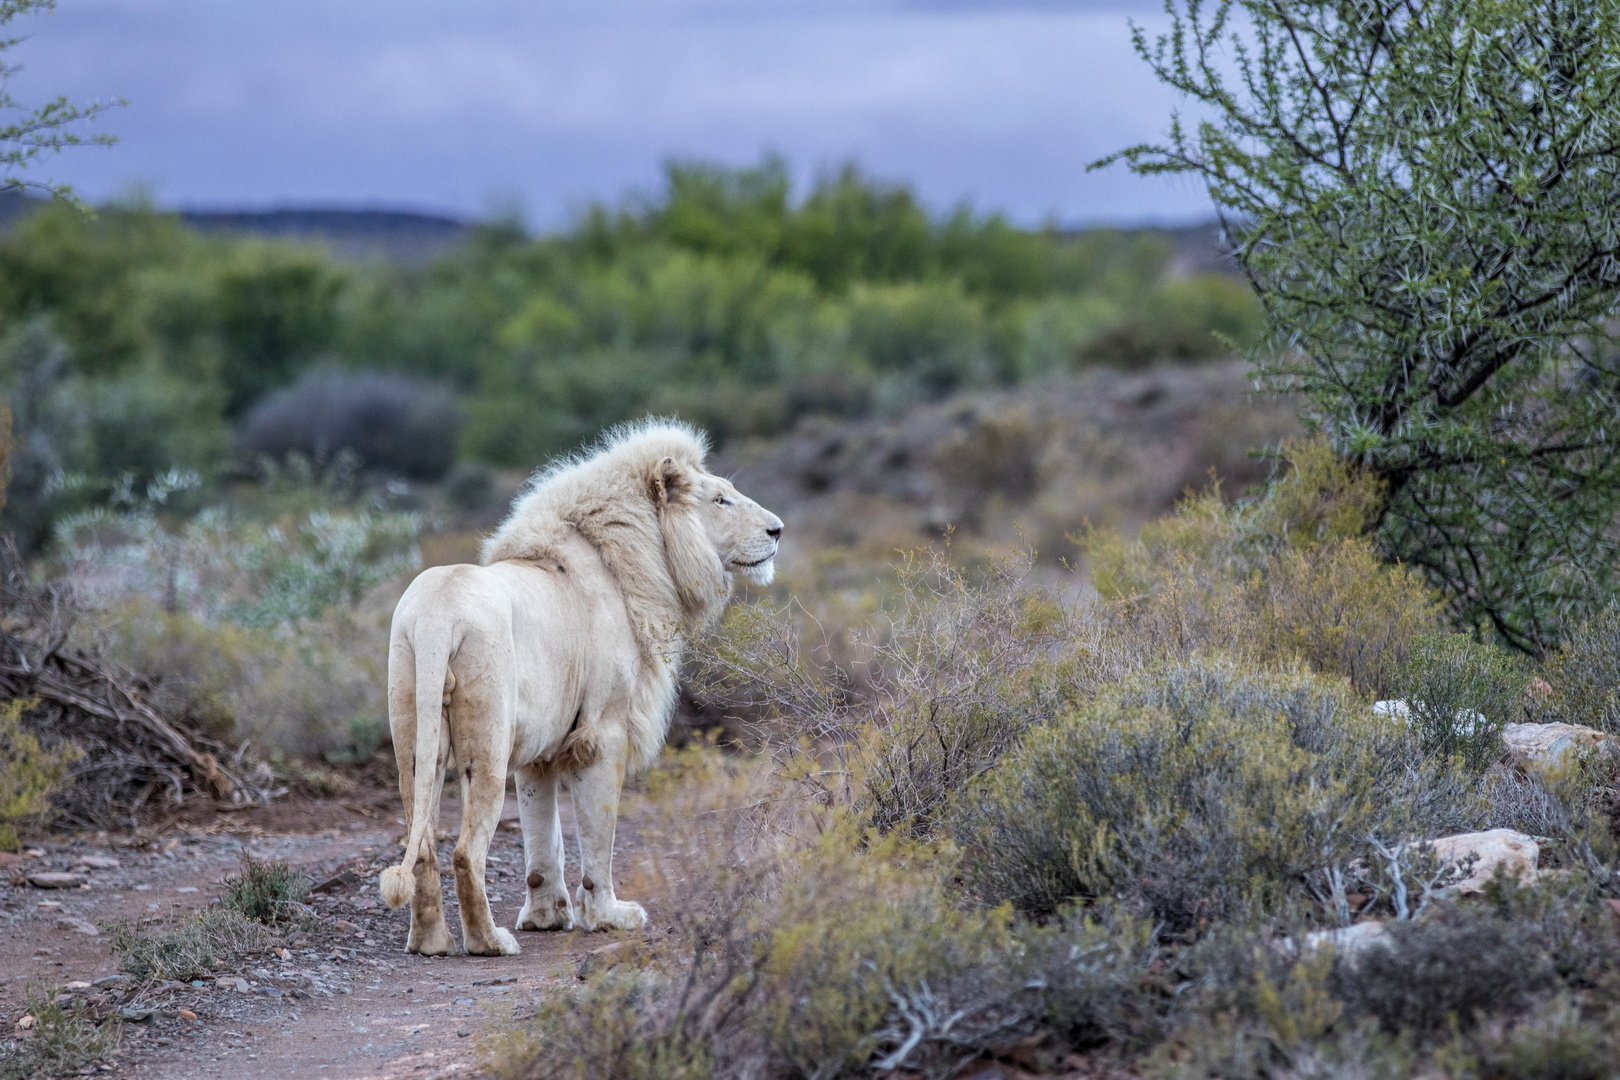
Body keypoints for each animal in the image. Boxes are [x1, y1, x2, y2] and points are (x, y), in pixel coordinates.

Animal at [379, 420, 784, 952]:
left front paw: (546, 915)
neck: (639, 560)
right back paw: (491, 942)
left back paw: (432, 942)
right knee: (465, 852)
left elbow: (543, 839)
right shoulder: (604, 731)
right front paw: (608, 915)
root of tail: (436, 616)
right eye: (721, 500)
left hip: (413, 733)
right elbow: (597, 835)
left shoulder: (539, 745)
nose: (778, 530)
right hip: (486, 746)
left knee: (424, 844)